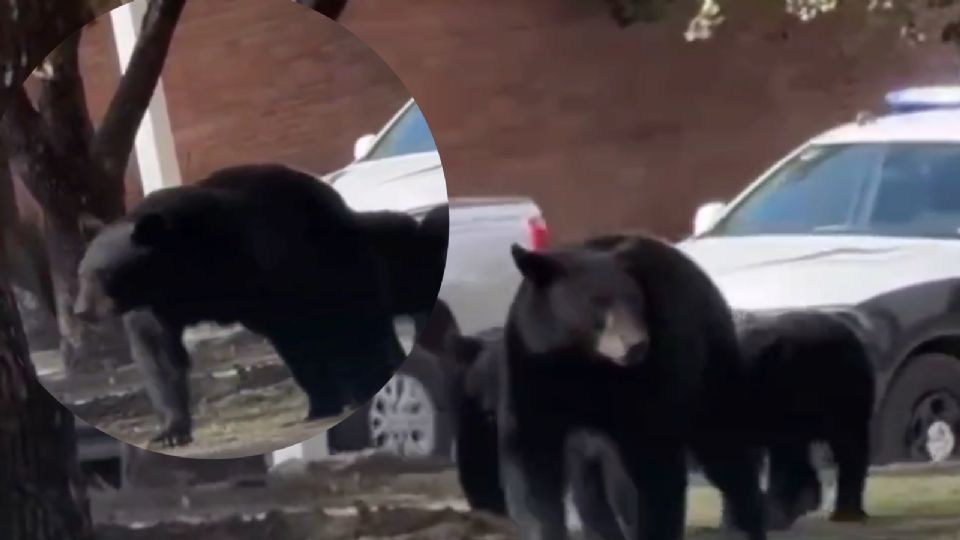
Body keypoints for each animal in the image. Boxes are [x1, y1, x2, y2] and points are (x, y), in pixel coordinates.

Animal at [498, 235, 768, 540]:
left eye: (634, 299)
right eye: (597, 302)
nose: (637, 344)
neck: (582, 365)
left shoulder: (647, 384)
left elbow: (653, 470)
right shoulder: (531, 373)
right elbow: (531, 464)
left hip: (709, 366)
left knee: (726, 452)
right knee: (590, 490)